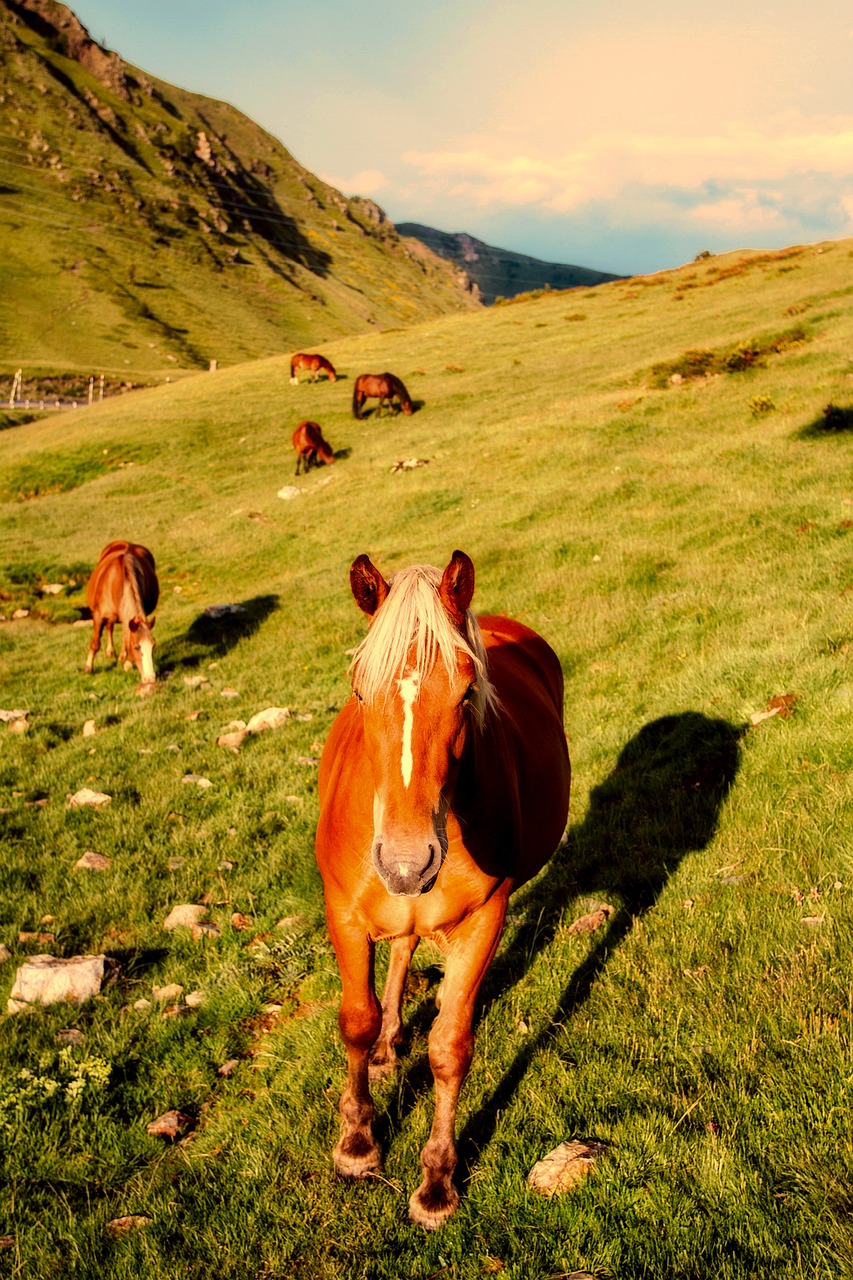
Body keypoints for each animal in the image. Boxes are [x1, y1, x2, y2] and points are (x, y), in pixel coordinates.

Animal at [83, 537, 158, 686]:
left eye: (153, 646)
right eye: (137, 647)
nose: (150, 679)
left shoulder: (130, 618)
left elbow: (126, 637)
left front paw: (127, 662)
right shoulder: (98, 616)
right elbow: (95, 643)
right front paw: (88, 667)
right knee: (110, 627)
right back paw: (110, 652)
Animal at [315, 550, 568, 1228]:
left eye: (466, 691)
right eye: (358, 689)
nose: (406, 862)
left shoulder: (484, 920)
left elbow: (450, 1047)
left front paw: (436, 1182)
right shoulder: (343, 914)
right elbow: (355, 1020)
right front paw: (356, 1144)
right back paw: (386, 1045)